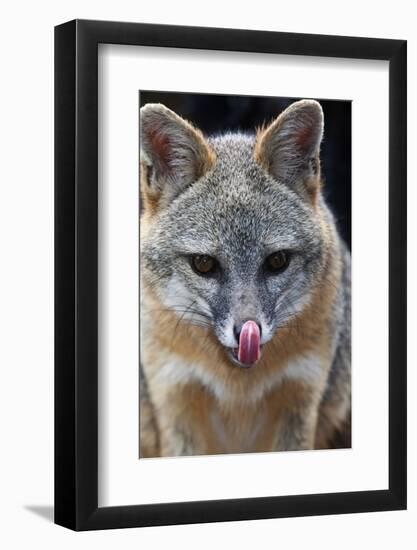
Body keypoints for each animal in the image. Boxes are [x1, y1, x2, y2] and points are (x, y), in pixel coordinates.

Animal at [138, 100, 350, 462]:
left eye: (277, 261)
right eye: (204, 264)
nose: (247, 332)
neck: (237, 387)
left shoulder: (300, 395)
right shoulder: (175, 396)